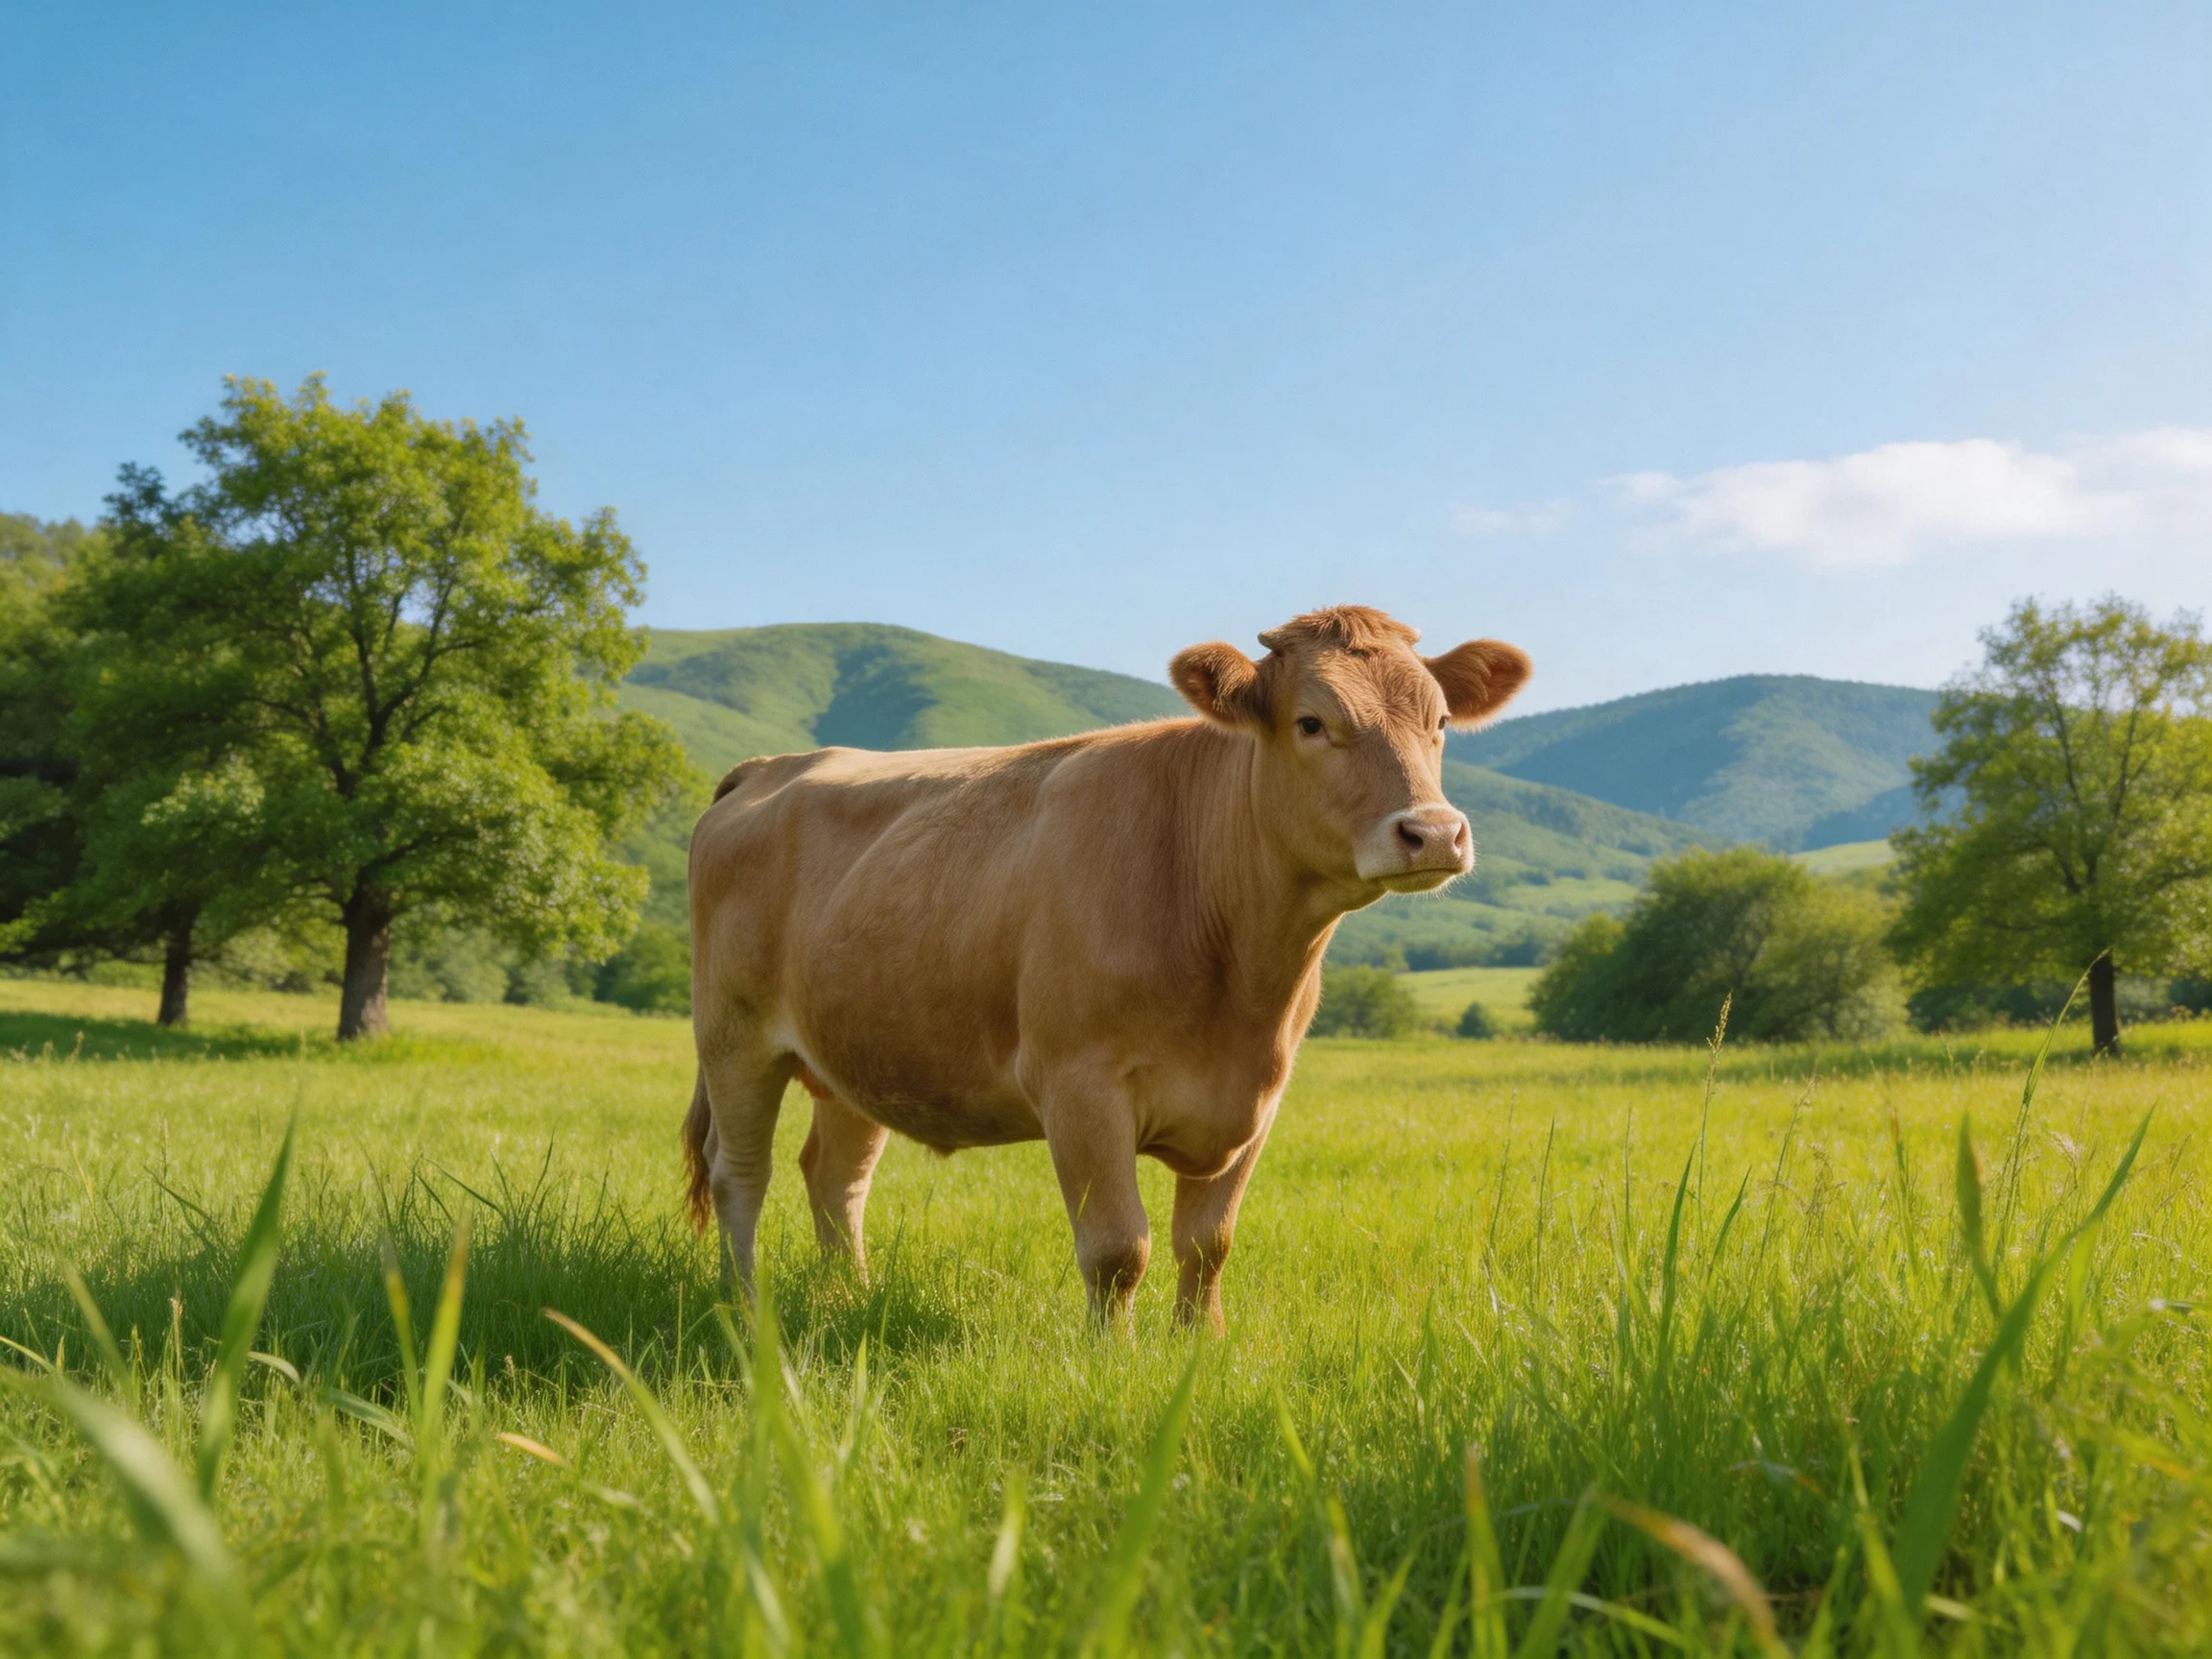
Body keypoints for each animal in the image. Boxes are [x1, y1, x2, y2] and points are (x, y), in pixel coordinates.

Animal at [680, 605, 1530, 1330]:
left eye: (1440, 723)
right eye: (1312, 722)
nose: (1434, 831)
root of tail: (774, 764)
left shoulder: (1259, 1099)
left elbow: (1209, 1244)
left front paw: (1200, 1347)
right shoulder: (1078, 1086)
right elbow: (1120, 1248)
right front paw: (1110, 1361)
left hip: (858, 1049)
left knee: (834, 1176)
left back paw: (848, 1297)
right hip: (734, 1037)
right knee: (739, 1173)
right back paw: (742, 1307)